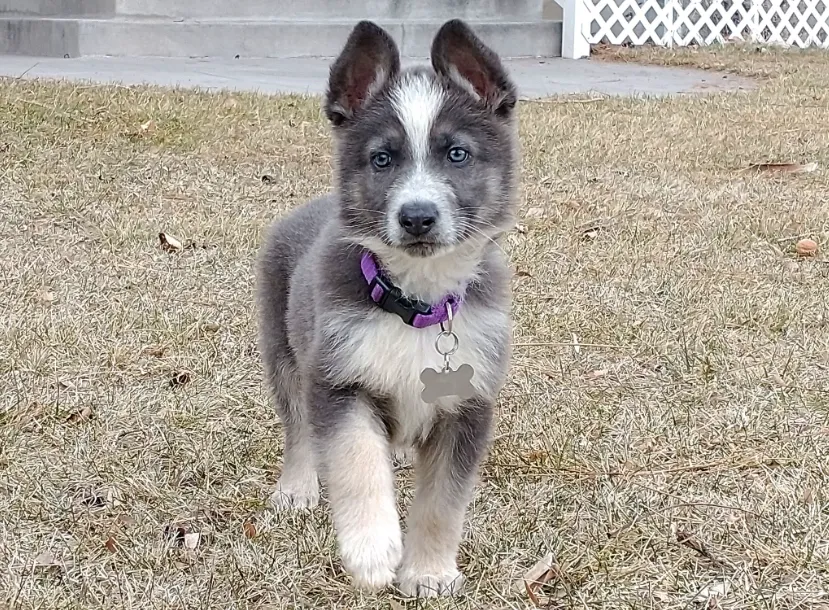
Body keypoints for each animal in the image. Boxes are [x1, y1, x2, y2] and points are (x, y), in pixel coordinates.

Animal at [258, 17, 516, 592]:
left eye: (457, 154)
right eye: (382, 159)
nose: (417, 217)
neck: (416, 302)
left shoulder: (468, 405)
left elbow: (443, 503)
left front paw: (430, 572)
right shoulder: (337, 379)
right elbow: (355, 459)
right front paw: (372, 549)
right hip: (284, 351)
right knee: (298, 427)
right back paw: (297, 486)